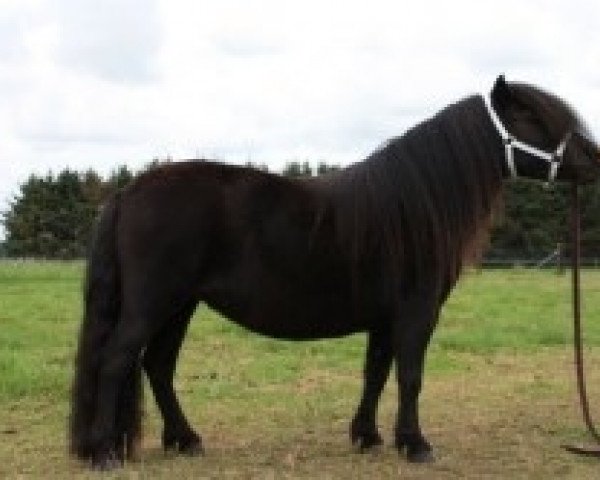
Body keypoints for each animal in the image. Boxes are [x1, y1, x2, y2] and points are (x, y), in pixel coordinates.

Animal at [69, 76, 596, 468]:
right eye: (530, 116)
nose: (593, 160)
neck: (412, 208)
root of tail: (127, 192)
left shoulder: (385, 318)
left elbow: (376, 372)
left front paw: (368, 436)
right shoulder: (416, 311)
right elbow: (410, 375)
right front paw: (416, 444)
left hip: (179, 306)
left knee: (157, 366)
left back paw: (185, 439)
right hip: (153, 304)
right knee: (116, 360)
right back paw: (102, 453)